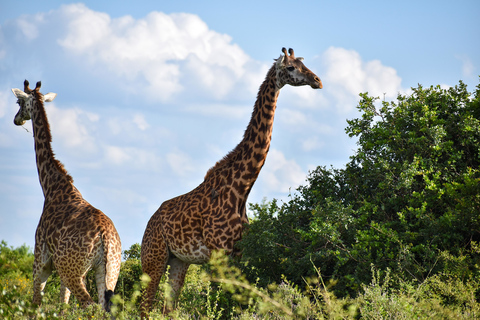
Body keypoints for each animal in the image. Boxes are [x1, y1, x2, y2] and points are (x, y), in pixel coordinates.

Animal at [11, 80, 122, 312]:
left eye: (19, 102)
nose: (16, 119)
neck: (51, 187)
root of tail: (105, 238)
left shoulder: (41, 259)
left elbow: (36, 303)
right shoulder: (61, 270)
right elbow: (62, 304)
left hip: (73, 270)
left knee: (89, 304)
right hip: (108, 272)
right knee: (103, 306)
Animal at [140, 47, 322, 316]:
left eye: (303, 64)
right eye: (291, 67)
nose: (317, 81)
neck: (241, 188)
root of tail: (150, 222)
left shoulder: (236, 253)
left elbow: (232, 302)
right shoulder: (219, 253)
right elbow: (218, 302)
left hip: (179, 260)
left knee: (167, 308)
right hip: (153, 257)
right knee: (143, 306)